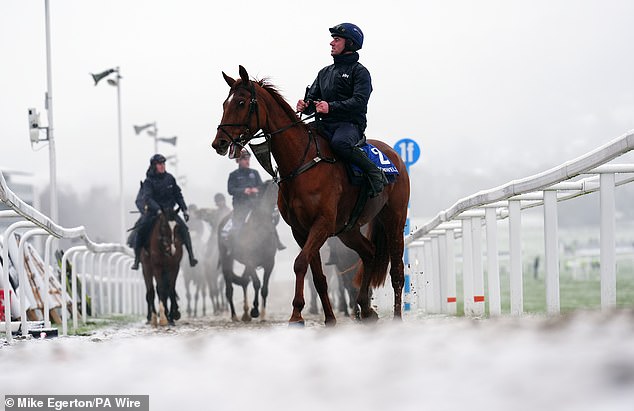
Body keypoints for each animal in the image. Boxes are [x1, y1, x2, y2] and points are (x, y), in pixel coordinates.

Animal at [216, 180, 278, 322]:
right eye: (273, 190)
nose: (276, 214)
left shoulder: (269, 263)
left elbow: (264, 289)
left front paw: (262, 315)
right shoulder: (250, 261)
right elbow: (257, 283)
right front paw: (255, 311)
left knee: (244, 282)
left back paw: (245, 314)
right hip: (227, 260)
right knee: (229, 288)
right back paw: (235, 316)